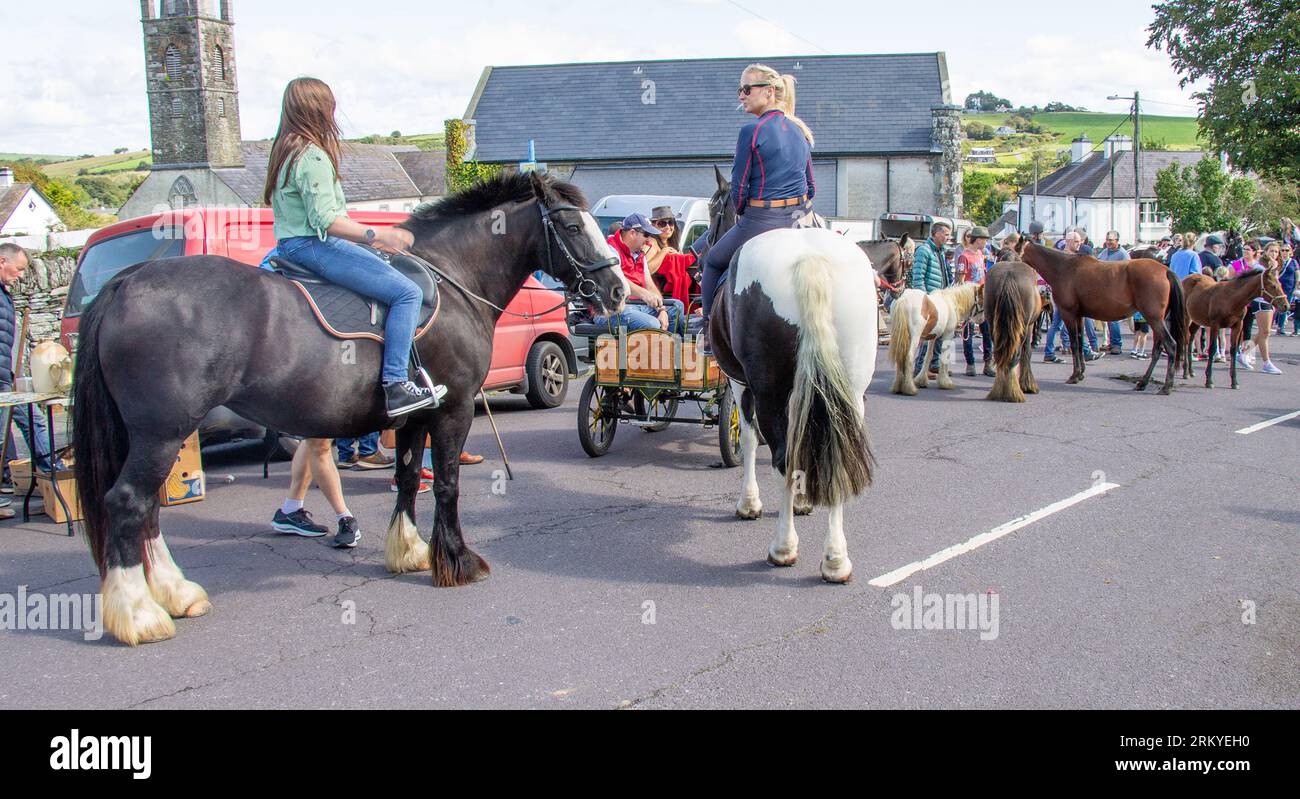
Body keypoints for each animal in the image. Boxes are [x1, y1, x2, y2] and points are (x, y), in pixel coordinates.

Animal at [73, 171, 626, 646]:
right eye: (573, 226)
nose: (617, 291)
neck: (452, 280)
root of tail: (125, 282)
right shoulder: (453, 413)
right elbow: (446, 485)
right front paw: (456, 561)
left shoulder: (414, 416)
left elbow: (407, 478)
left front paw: (408, 551)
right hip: (161, 433)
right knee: (128, 503)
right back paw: (139, 613)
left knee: (146, 510)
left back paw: (174, 594)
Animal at [982, 261, 1045, 402]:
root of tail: (1008, 277)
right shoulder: (1029, 326)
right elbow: (1027, 352)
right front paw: (1027, 385)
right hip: (1023, 328)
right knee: (1015, 356)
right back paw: (1013, 393)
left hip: (993, 325)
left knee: (1000, 356)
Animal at [1024, 244, 1190, 394]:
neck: (1064, 268)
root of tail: (1165, 270)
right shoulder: (1079, 316)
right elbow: (1080, 342)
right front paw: (1081, 372)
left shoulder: (1069, 314)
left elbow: (1075, 343)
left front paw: (1075, 375)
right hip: (1157, 320)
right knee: (1158, 348)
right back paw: (1143, 383)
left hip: (1154, 319)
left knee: (1170, 345)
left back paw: (1166, 386)